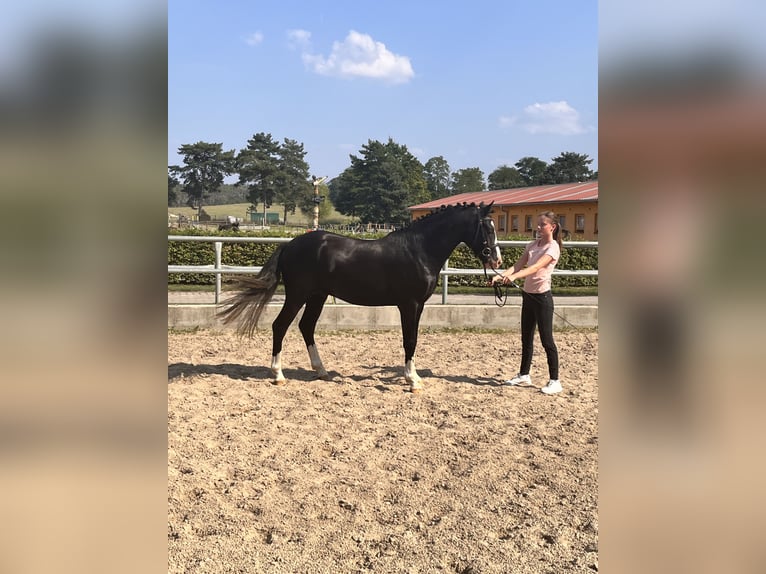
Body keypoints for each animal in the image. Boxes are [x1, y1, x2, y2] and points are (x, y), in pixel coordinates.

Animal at [218, 200, 504, 394]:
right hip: (298, 295)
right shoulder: (409, 305)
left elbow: (413, 340)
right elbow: (409, 340)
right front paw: (413, 381)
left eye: (495, 226)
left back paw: (321, 370)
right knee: (281, 326)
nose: (497, 259)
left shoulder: (419, 306)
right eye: (486, 228)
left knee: (306, 326)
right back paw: (278, 375)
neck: (419, 250)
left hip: (318, 296)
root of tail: (289, 245)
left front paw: (412, 377)